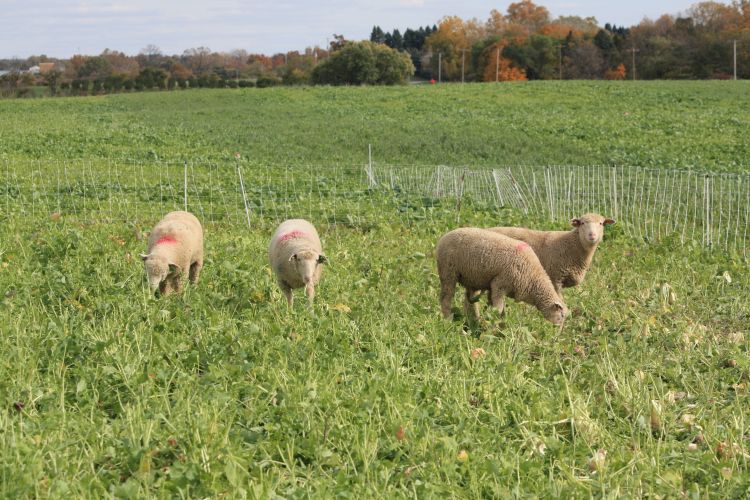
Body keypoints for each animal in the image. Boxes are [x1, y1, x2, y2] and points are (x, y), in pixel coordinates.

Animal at [434, 229, 568, 326]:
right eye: (561, 316)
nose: (558, 332)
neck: (533, 279)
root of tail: (444, 236)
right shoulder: (499, 284)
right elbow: (497, 309)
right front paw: (494, 326)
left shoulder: (495, 287)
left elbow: (499, 309)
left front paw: (501, 325)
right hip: (448, 273)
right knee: (446, 298)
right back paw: (448, 321)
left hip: (471, 278)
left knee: (470, 301)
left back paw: (473, 320)